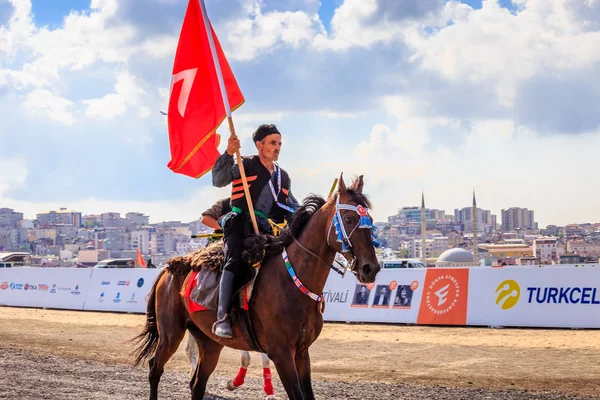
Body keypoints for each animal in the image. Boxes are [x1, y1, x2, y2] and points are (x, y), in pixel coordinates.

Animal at [134, 176, 382, 400]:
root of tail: (169, 268)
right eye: (348, 218)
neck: (292, 280)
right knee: (155, 368)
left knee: (197, 384)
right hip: (171, 333)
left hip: (209, 342)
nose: (370, 267)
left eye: (369, 219)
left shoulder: (302, 353)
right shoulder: (281, 354)